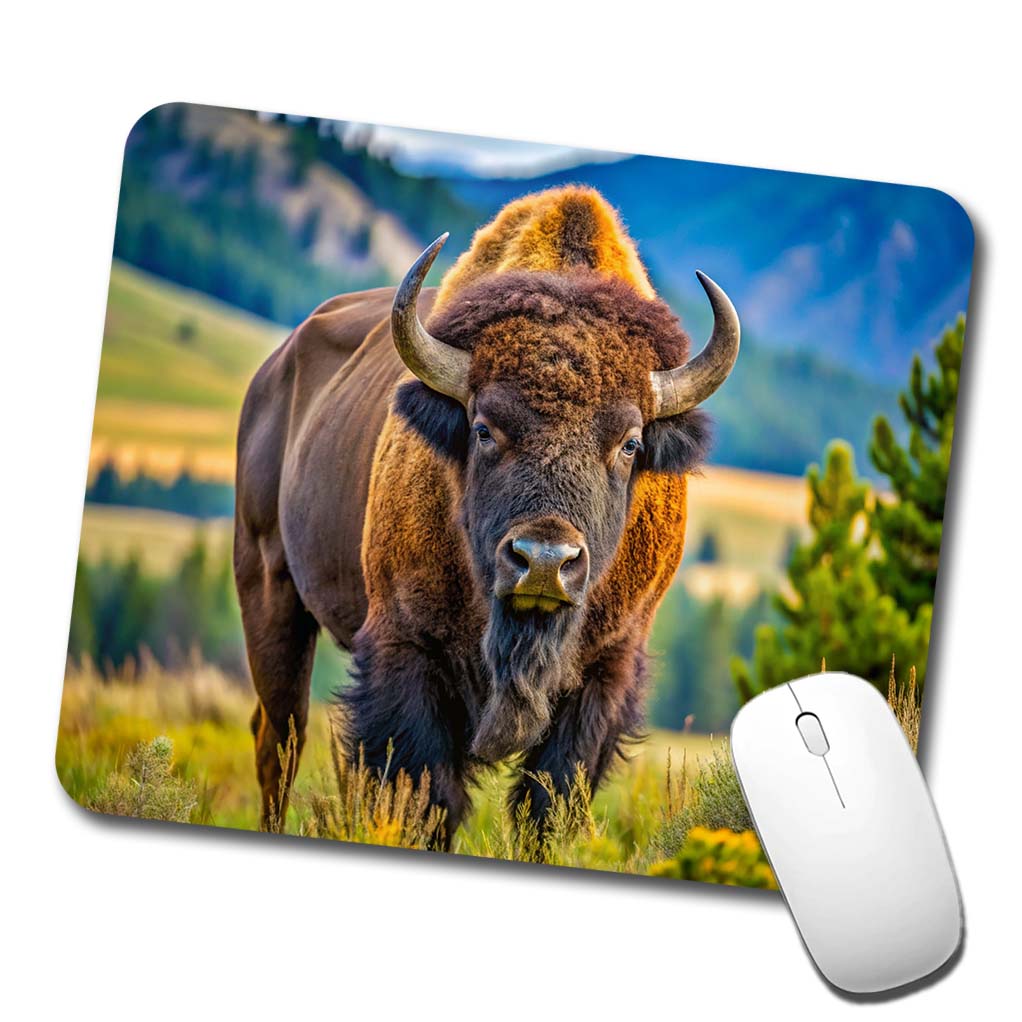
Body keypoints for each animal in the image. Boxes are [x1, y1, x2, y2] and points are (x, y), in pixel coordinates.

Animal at [234, 186, 740, 838]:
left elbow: (547, 803)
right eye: (483, 428)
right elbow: (426, 796)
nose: (544, 561)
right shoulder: (407, 649)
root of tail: (275, 369)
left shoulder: (605, 673)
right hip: (269, 587)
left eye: (630, 443)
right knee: (279, 740)